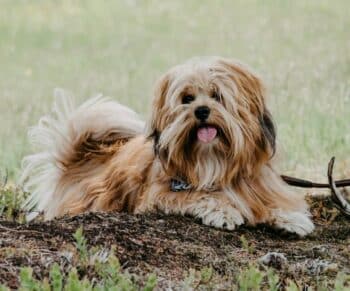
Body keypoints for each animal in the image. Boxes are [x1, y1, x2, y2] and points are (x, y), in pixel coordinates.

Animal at [19, 57, 314, 237]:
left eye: (217, 95)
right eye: (187, 98)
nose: (201, 111)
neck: (213, 159)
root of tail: (80, 158)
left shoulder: (260, 185)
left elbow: (274, 201)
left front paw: (291, 218)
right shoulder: (161, 194)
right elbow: (200, 196)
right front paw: (223, 211)